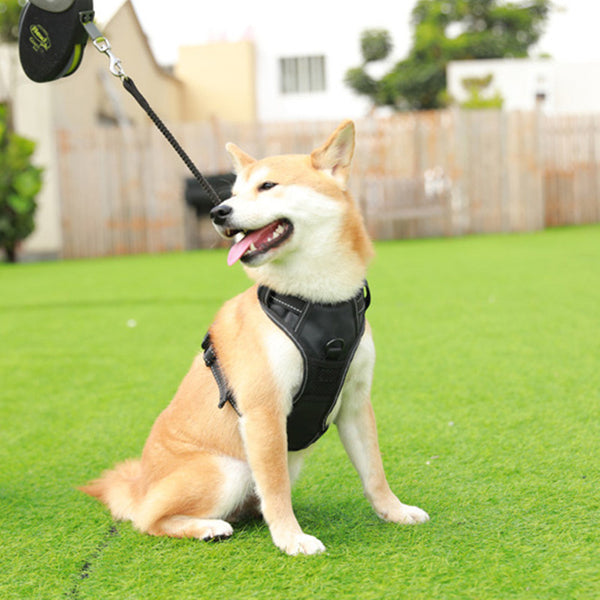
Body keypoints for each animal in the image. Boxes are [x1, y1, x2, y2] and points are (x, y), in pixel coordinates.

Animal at [82, 119, 428, 556]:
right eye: (233, 193)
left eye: (267, 186)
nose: (218, 212)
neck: (317, 302)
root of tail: (139, 484)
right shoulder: (265, 411)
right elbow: (275, 488)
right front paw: (291, 538)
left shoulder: (355, 402)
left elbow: (374, 472)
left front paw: (394, 511)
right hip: (227, 469)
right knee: (149, 520)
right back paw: (206, 527)